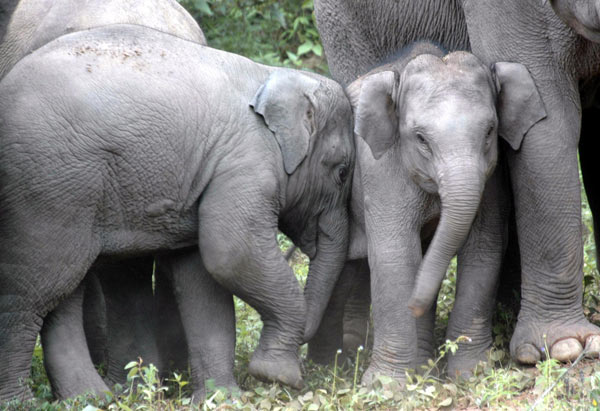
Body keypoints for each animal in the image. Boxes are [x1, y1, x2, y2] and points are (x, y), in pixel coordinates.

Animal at [0, 23, 356, 402]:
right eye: (342, 172)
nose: (310, 368)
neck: (274, 76)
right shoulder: (246, 164)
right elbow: (232, 254)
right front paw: (277, 377)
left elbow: (204, 280)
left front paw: (221, 398)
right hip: (46, 187)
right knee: (33, 292)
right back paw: (25, 402)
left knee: (63, 292)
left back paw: (92, 399)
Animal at [314, 0, 600, 384]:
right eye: (420, 139)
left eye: (490, 133)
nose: (414, 304)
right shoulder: (383, 167)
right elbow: (546, 119)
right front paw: (565, 347)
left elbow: (482, 245)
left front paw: (471, 372)